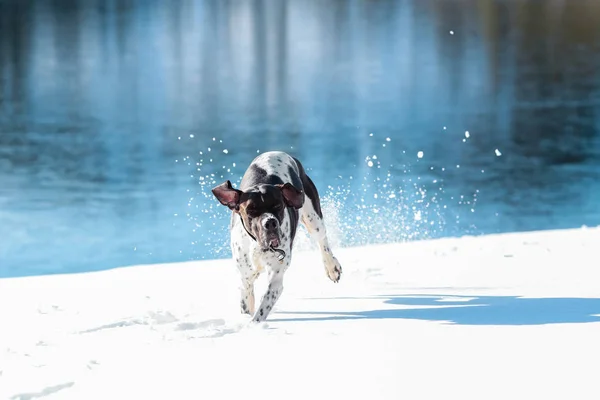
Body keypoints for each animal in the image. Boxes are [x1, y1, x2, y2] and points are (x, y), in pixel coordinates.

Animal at [211, 150, 342, 322]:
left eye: (278, 206)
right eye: (251, 210)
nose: (270, 222)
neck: (258, 246)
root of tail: (278, 152)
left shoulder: (275, 280)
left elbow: (261, 309)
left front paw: (253, 325)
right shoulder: (245, 279)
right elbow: (247, 304)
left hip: (313, 217)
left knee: (322, 241)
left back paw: (332, 267)